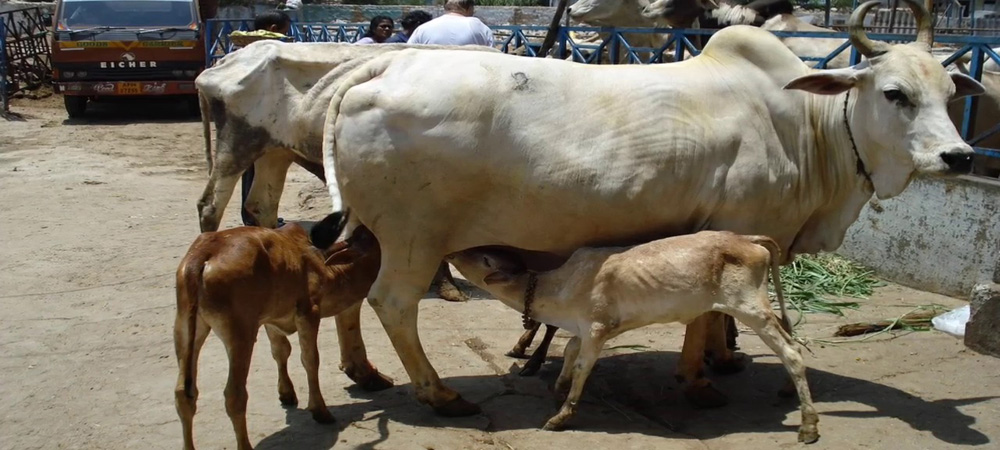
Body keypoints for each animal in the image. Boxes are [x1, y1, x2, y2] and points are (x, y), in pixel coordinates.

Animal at [173, 222, 382, 450]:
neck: (323, 267)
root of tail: (203, 254)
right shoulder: (308, 312)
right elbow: (310, 360)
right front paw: (320, 410)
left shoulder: (270, 319)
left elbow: (281, 352)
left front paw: (286, 392)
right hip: (240, 334)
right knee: (234, 395)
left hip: (185, 329)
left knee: (183, 394)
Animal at [322, 1, 984, 420]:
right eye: (895, 94)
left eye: (951, 93)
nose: (958, 156)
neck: (806, 127)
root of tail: (384, 64)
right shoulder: (734, 229)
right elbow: (704, 312)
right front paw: (699, 379)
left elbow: (715, 317)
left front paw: (722, 357)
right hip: (413, 236)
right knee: (393, 304)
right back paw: (438, 394)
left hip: (375, 231)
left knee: (351, 289)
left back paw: (365, 373)